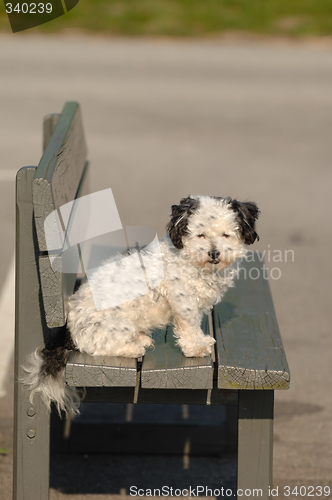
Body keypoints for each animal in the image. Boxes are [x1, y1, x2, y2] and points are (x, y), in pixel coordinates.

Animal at [22, 195, 260, 414]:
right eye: (201, 234)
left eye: (226, 234)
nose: (214, 253)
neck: (192, 260)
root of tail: (69, 330)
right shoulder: (183, 302)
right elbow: (189, 327)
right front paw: (195, 347)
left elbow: (195, 325)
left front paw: (202, 340)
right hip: (118, 324)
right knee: (97, 347)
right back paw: (134, 347)